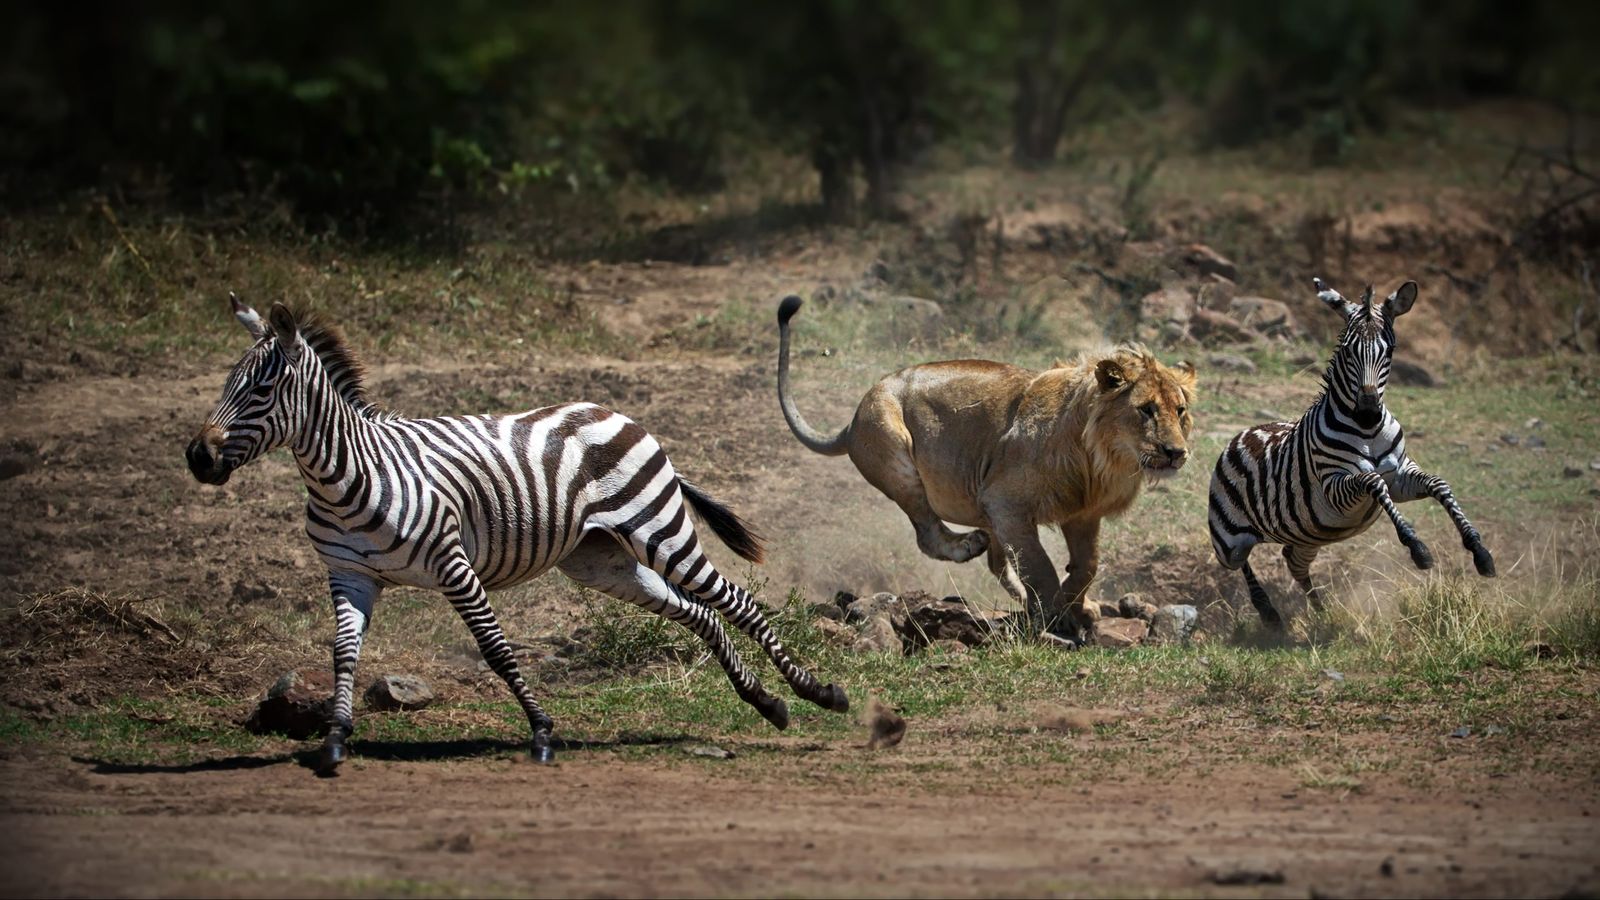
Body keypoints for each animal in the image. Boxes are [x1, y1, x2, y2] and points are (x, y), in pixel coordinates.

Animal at [186, 295, 849, 774]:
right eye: (226, 383)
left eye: (261, 389)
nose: (197, 457)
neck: (348, 476)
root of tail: (622, 414)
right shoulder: (350, 574)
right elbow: (343, 653)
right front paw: (335, 739)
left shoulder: (453, 564)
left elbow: (497, 651)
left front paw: (542, 733)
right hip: (600, 560)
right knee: (700, 612)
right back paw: (766, 703)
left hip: (658, 528)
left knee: (738, 603)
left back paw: (819, 694)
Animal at [776, 295, 1198, 640]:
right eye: (1146, 410)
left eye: (1180, 410)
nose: (1176, 452)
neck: (1100, 459)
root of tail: (851, 421)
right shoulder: (1006, 502)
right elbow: (1038, 563)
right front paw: (1057, 616)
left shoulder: (1082, 514)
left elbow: (1086, 566)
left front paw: (1076, 605)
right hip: (897, 454)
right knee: (929, 534)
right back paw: (969, 546)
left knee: (996, 562)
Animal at [1207, 277, 1495, 627]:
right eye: (1347, 351)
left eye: (1391, 350)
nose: (1369, 412)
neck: (1368, 433)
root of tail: (1238, 436)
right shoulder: (1335, 485)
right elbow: (1372, 481)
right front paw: (1416, 546)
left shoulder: (1400, 476)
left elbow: (1438, 484)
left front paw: (1479, 550)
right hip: (1228, 540)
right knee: (1240, 562)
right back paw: (1268, 611)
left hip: (1307, 536)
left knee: (1293, 562)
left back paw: (1322, 612)